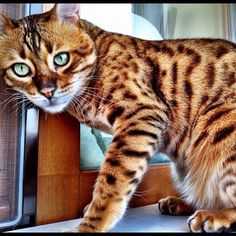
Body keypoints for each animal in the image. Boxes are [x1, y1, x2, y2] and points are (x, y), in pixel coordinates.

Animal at [0, 3, 235, 232]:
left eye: (61, 58)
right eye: (20, 69)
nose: (47, 91)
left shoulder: (142, 114)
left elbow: (112, 180)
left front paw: (91, 224)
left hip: (218, 126)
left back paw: (213, 215)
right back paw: (181, 203)